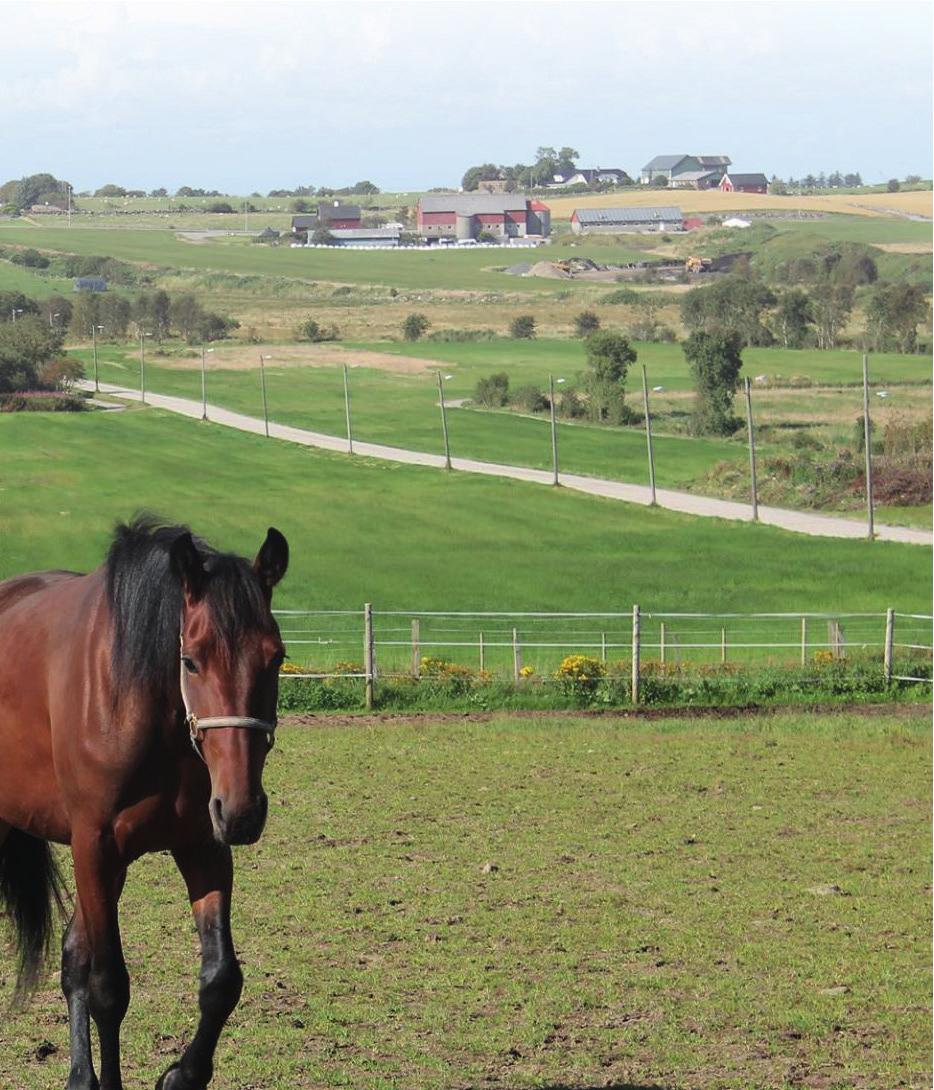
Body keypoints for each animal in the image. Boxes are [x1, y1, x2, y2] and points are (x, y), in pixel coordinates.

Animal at [0, 518, 287, 1090]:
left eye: (277, 656)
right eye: (191, 660)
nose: (242, 811)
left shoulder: (201, 846)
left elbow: (221, 979)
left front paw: (181, 1074)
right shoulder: (94, 846)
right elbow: (108, 988)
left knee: (73, 956)